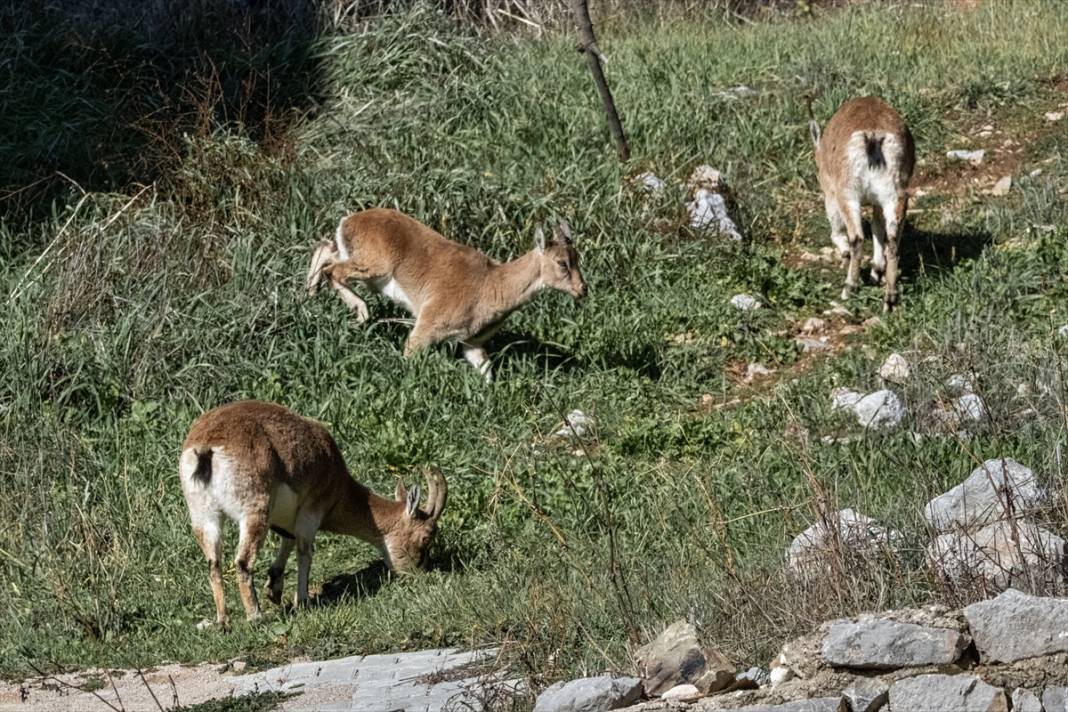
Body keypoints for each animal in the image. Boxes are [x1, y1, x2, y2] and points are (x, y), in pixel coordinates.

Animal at [177, 403, 444, 627]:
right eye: (426, 538)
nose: (420, 575)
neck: (338, 483)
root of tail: (206, 450)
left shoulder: (287, 518)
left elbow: (288, 540)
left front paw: (274, 589)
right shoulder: (311, 509)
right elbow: (305, 551)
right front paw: (302, 600)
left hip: (203, 515)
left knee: (213, 563)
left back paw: (223, 621)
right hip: (254, 509)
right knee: (243, 561)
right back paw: (255, 616)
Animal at [303, 209, 585, 382]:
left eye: (577, 257)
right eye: (561, 263)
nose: (583, 289)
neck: (492, 285)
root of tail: (348, 221)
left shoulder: (470, 341)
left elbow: (486, 369)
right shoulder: (427, 325)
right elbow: (409, 352)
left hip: (356, 259)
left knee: (326, 249)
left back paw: (309, 293)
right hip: (373, 266)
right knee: (333, 270)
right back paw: (361, 311)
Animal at [811, 96, 914, 309]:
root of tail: (873, 137)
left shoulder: (832, 193)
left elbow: (837, 232)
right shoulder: (877, 203)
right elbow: (877, 228)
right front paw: (876, 271)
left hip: (848, 195)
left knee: (856, 237)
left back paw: (849, 288)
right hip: (895, 195)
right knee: (892, 240)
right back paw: (890, 297)